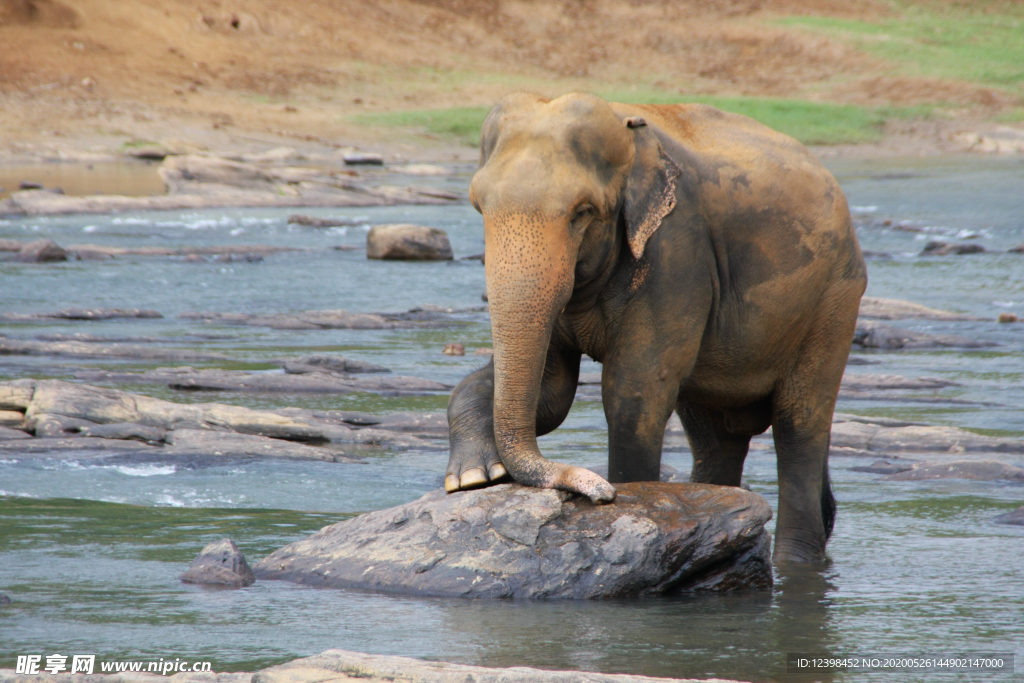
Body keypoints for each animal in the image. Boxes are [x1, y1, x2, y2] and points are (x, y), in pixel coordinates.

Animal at [445, 92, 867, 564]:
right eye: (479, 206)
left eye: (582, 212)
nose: (599, 493)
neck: (625, 126)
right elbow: (553, 392)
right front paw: (474, 477)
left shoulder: (678, 252)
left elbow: (634, 392)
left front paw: (625, 495)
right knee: (717, 436)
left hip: (833, 302)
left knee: (799, 426)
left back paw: (794, 563)